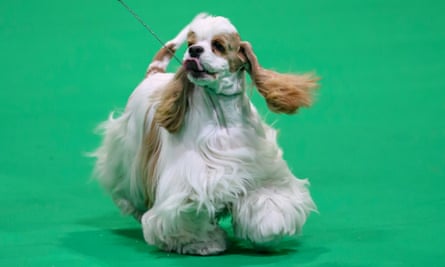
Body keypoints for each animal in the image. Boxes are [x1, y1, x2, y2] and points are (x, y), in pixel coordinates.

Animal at [92, 13, 318, 256]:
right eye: (191, 44)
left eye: (218, 45)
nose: (194, 51)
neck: (222, 117)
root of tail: (153, 75)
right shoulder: (189, 185)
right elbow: (187, 218)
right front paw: (202, 243)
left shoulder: (260, 172)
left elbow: (269, 199)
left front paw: (269, 228)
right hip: (128, 151)